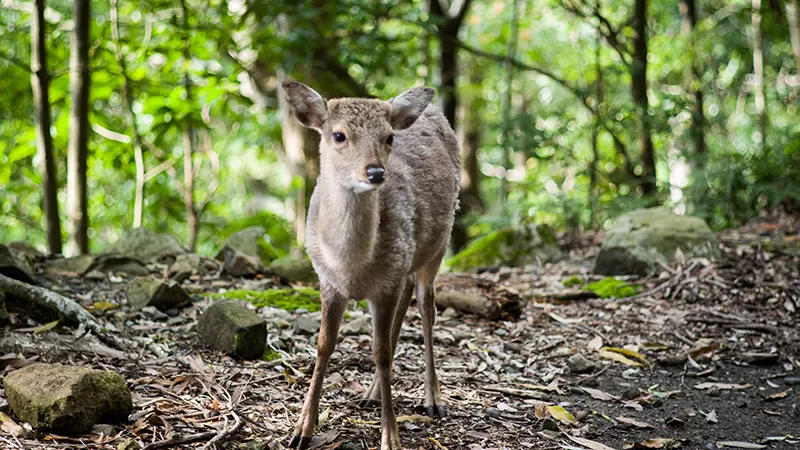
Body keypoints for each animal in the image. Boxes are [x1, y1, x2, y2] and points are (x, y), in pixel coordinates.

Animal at [282, 81, 460, 450]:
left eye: (389, 137)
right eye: (338, 135)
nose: (376, 172)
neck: (352, 267)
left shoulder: (387, 283)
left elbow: (381, 352)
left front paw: (390, 437)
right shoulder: (328, 281)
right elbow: (324, 345)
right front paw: (302, 429)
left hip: (438, 245)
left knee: (426, 306)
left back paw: (433, 399)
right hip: (406, 263)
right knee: (406, 304)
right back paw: (372, 392)